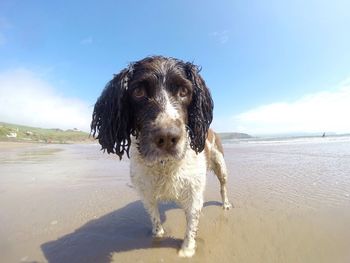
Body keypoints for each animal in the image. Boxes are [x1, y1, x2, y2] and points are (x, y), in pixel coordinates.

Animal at [91, 56, 232, 258]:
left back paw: (226, 204)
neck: (164, 165)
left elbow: (191, 225)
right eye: (138, 92)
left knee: (223, 186)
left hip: (221, 165)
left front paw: (186, 251)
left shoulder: (194, 194)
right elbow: (154, 218)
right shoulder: (146, 193)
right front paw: (157, 237)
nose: (167, 138)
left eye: (184, 91)